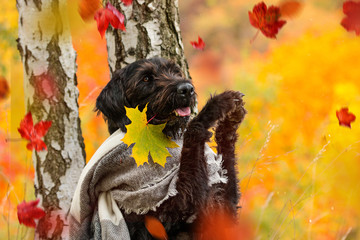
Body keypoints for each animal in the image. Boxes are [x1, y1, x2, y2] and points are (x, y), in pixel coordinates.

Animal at [95, 57, 246, 239]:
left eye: (175, 71)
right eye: (146, 78)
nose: (187, 89)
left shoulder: (224, 209)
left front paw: (230, 122)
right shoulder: (173, 210)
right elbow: (193, 130)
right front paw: (216, 105)